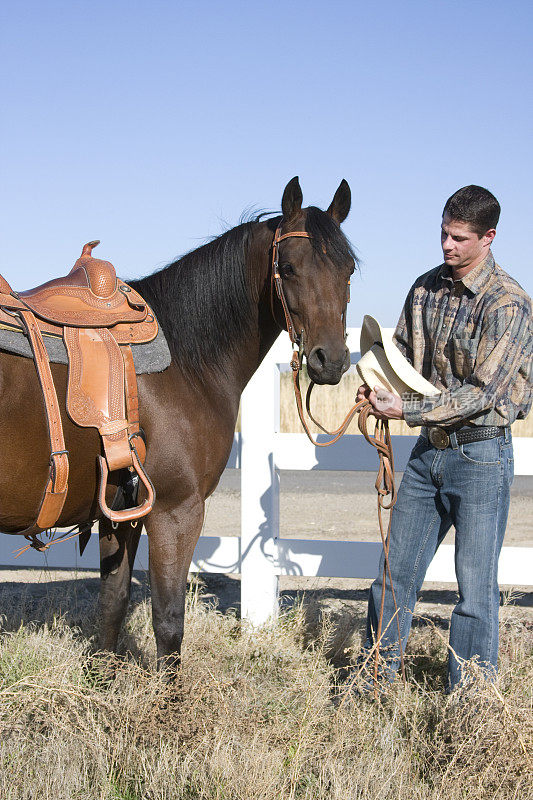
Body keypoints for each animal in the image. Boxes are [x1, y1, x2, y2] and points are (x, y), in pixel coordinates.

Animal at [1, 177, 358, 676]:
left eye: (348, 269)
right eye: (287, 267)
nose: (332, 360)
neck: (186, 359)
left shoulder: (122, 511)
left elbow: (112, 604)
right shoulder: (175, 511)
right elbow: (168, 622)